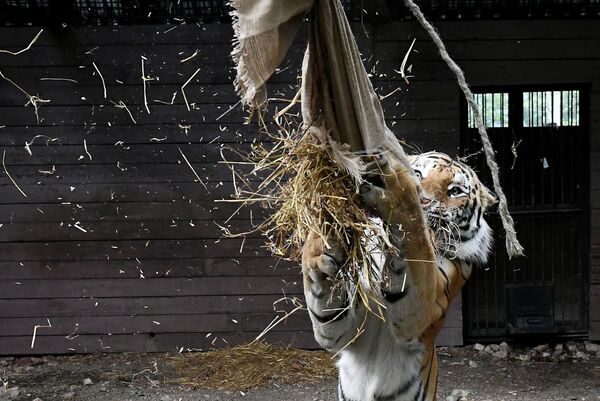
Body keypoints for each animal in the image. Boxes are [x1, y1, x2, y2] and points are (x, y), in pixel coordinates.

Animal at [302, 151, 494, 400]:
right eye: (419, 173)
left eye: (455, 190)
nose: (424, 201)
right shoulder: (346, 331)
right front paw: (325, 238)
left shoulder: (422, 313)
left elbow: (414, 237)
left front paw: (397, 192)